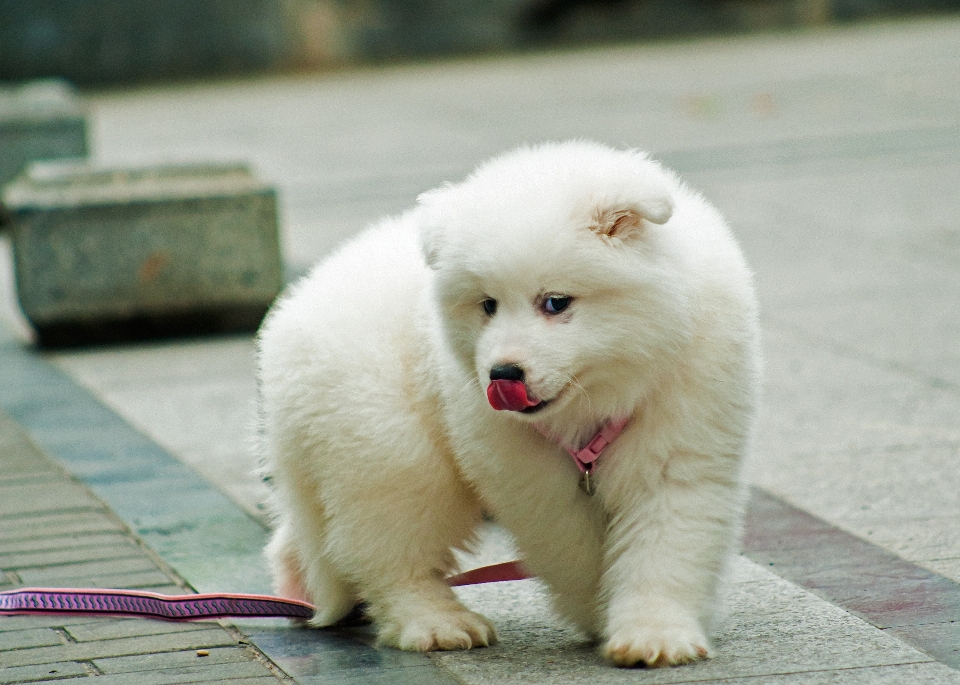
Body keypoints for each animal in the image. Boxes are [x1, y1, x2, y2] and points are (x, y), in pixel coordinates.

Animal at [258, 140, 760, 668]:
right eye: (488, 305)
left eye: (556, 302)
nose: (502, 375)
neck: (599, 397)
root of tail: (294, 308)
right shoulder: (526, 475)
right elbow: (573, 547)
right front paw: (595, 611)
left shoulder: (681, 444)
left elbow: (666, 545)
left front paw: (654, 635)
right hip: (390, 448)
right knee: (388, 548)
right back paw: (437, 622)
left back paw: (301, 588)